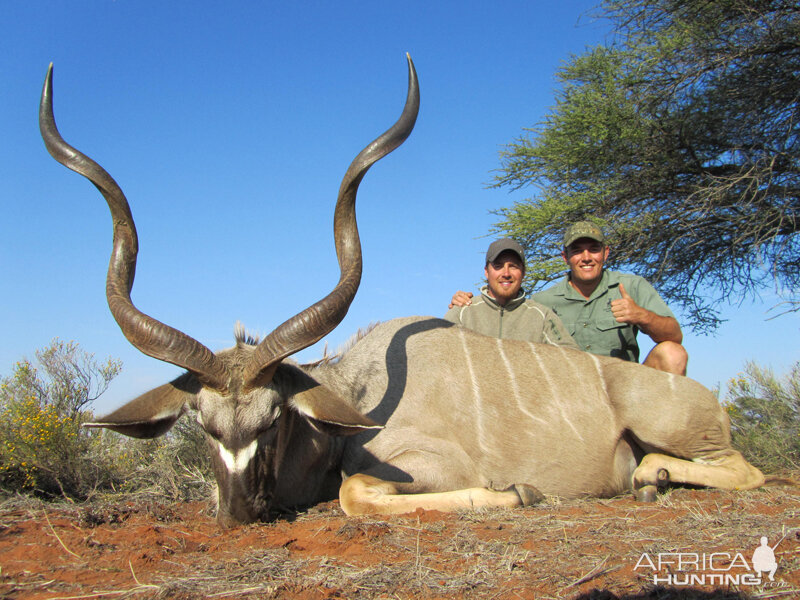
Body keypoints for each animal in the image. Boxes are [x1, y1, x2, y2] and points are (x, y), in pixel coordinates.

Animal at [40, 56, 764, 524]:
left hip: (675, 426)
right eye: (202, 423)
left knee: (745, 470)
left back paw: (649, 478)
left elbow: (355, 494)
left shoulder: (429, 464)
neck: (351, 399)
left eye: (273, 419)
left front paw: (519, 494)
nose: (239, 512)